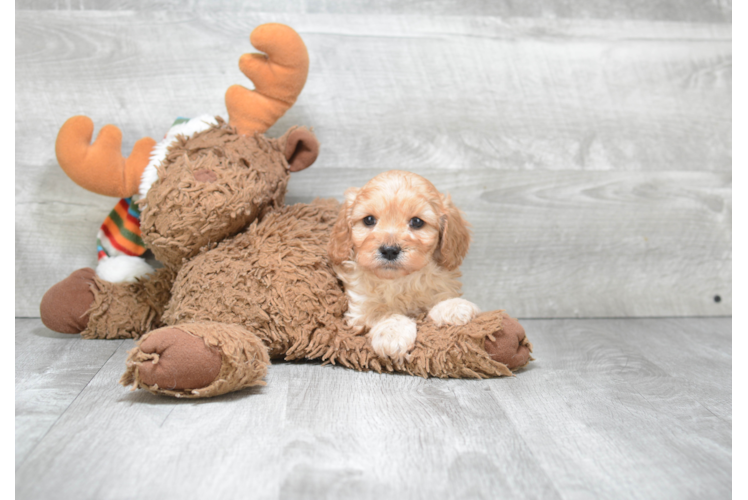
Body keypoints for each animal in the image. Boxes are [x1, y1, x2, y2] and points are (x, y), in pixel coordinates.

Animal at [328, 170, 480, 362]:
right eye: (369, 220)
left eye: (417, 222)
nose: (389, 250)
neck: (400, 280)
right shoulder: (359, 307)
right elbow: (381, 311)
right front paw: (393, 333)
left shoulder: (442, 283)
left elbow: (439, 297)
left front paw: (453, 307)